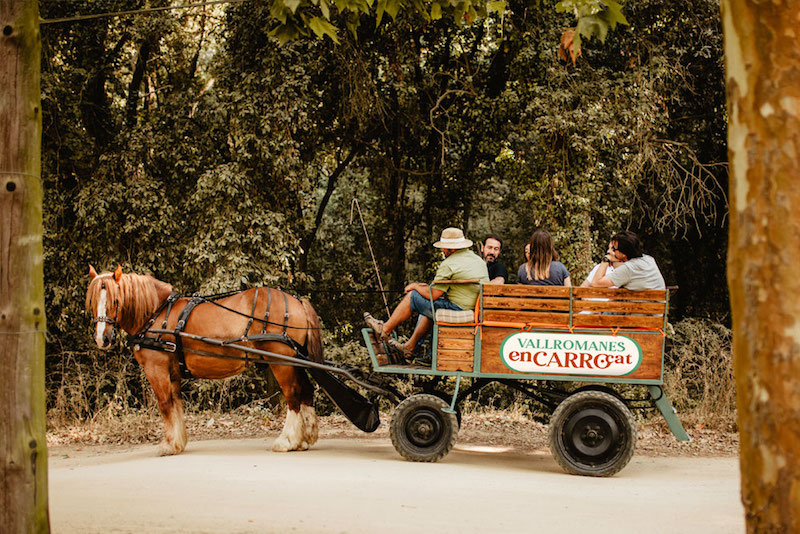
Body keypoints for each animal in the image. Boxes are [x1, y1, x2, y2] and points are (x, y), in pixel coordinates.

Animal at [86, 266, 324, 458]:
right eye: (93, 302)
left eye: (115, 300)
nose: (102, 339)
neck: (156, 314)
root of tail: (297, 301)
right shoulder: (173, 372)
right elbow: (176, 404)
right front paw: (178, 442)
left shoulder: (156, 368)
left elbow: (165, 404)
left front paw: (168, 445)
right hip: (295, 360)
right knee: (306, 390)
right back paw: (306, 438)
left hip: (281, 361)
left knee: (292, 394)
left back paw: (287, 440)